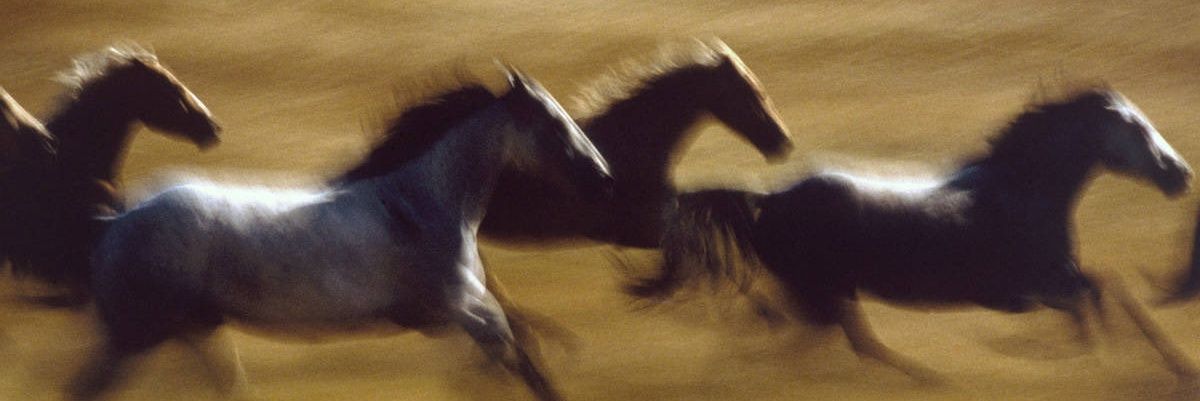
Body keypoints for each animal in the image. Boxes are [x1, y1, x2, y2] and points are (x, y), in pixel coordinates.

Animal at [70, 68, 611, 401]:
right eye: (552, 123)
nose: (601, 175)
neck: (420, 204)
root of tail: (115, 219)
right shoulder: (466, 310)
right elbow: (526, 363)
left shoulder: (454, 316)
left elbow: (516, 357)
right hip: (138, 332)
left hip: (193, 327)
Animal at [630, 86, 1199, 381]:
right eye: (1136, 128)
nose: (1180, 174)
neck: (1021, 190)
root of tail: (766, 199)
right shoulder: (1040, 287)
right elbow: (1106, 294)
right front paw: (1159, 365)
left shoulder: (1050, 286)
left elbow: (1104, 296)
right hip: (818, 293)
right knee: (829, 349)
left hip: (827, 294)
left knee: (850, 345)